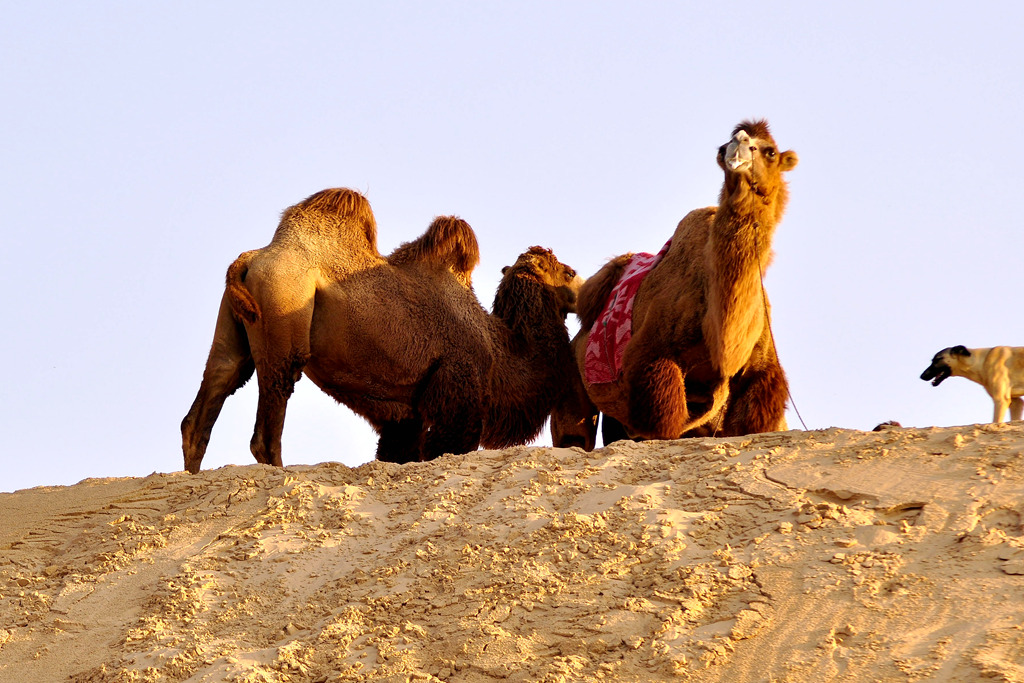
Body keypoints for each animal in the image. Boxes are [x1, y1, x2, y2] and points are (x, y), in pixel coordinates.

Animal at [180, 189, 581, 473]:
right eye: (567, 272)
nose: (581, 285)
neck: (498, 349)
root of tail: (251, 258)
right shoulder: (457, 393)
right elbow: (442, 448)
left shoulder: (407, 415)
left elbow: (397, 452)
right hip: (284, 319)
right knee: (267, 423)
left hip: (233, 331)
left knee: (212, 392)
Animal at [552, 120, 798, 450]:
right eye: (724, 146)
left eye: (770, 151)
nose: (737, 149)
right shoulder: (651, 362)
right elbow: (662, 423)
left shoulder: (761, 372)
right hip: (573, 376)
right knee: (574, 435)